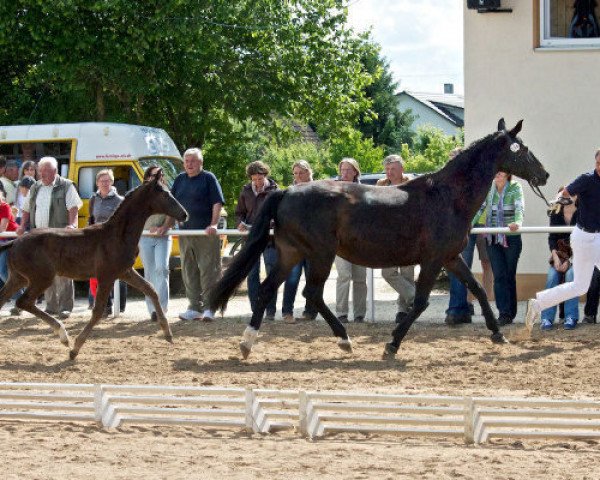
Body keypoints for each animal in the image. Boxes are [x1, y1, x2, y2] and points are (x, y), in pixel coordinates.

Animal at [0, 174, 186, 358]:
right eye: (165, 193)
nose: (184, 214)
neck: (117, 235)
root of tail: (15, 242)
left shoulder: (125, 272)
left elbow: (151, 290)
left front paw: (168, 334)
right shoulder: (106, 276)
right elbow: (97, 311)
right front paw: (75, 349)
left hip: (18, 278)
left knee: (6, 298)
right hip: (42, 278)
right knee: (24, 301)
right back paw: (63, 335)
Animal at [211, 120, 548, 360]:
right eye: (521, 148)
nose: (544, 175)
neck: (448, 197)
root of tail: (286, 191)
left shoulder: (450, 258)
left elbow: (477, 289)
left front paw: (498, 334)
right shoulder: (433, 260)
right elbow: (421, 301)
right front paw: (391, 345)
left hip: (291, 254)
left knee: (269, 290)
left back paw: (247, 344)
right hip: (320, 254)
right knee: (312, 294)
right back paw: (343, 340)